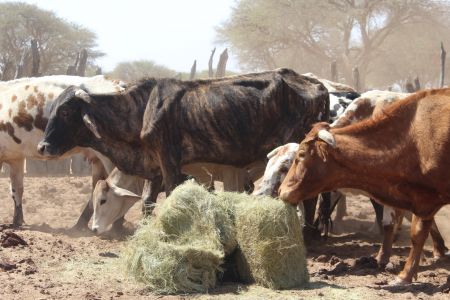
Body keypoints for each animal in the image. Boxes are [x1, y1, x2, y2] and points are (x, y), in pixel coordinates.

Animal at [0, 76, 125, 226]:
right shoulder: (16, 159)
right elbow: (17, 190)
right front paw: (17, 221)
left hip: (110, 157)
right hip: (98, 159)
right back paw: (79, 226)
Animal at [278, 88, 450, 284]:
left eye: (301, 154)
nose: (281, 190)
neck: (415, 138)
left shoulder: (424, 199)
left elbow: (417, 234)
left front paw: (404, 275)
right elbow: (396, 225)